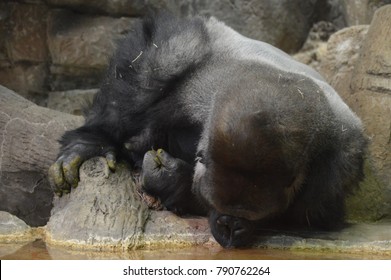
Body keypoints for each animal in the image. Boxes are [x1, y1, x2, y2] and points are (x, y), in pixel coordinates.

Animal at [48, 14, 368, 248]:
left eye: (254, 216)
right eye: (220, 206)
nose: (230, 227)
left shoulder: (339, 165)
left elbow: (303, 218)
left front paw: (172, 181)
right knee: (167, 55)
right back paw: (91, 141)